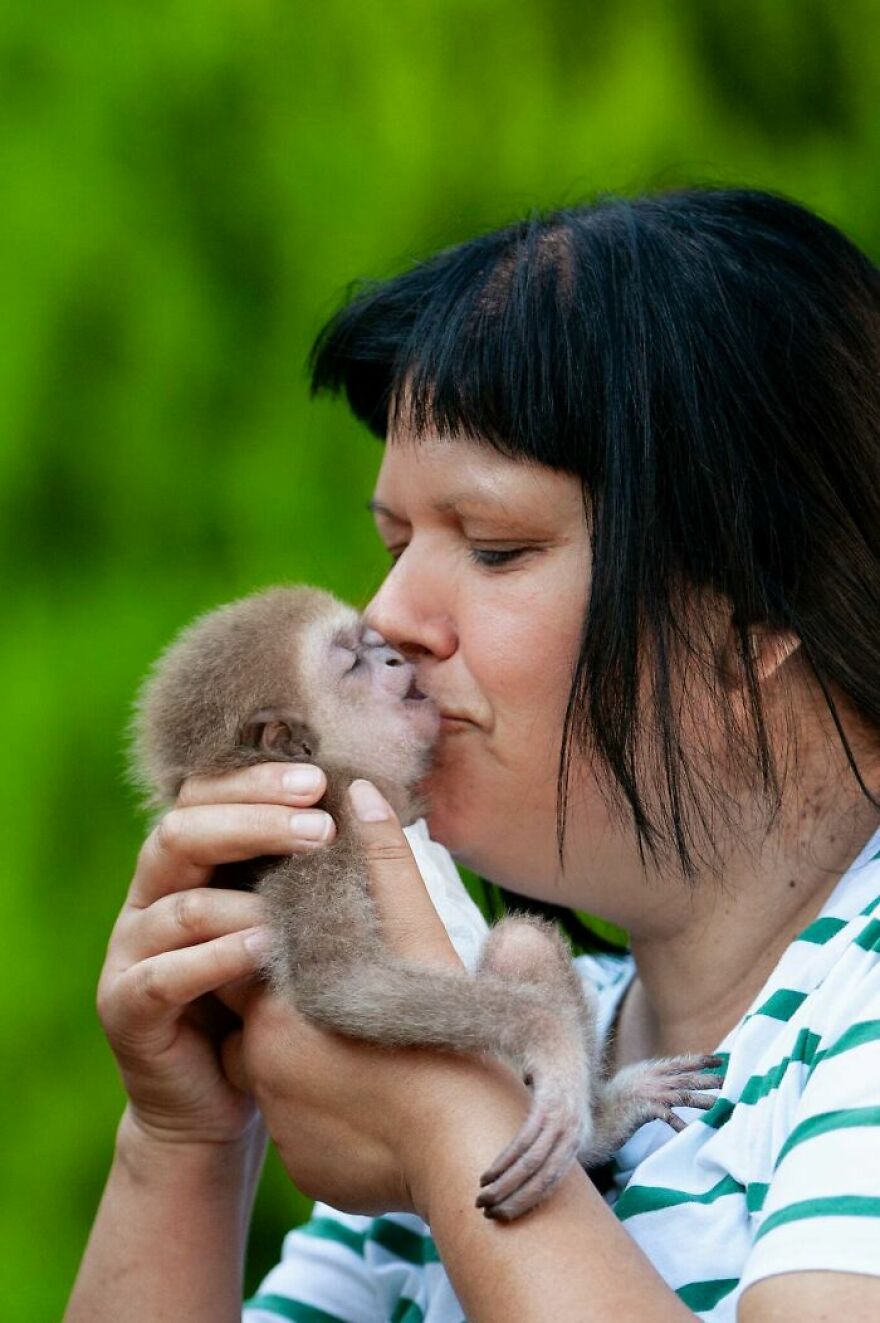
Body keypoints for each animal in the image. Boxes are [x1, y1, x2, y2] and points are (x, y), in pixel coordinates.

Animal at [130, 584, 724, 1222]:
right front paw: (547, 1036)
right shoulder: (321, 819)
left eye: (374, 643)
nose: (395, 657)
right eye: (353, 660)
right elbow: (341, 980)